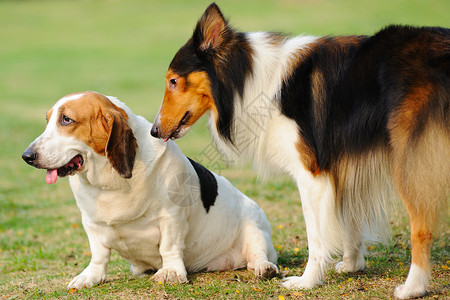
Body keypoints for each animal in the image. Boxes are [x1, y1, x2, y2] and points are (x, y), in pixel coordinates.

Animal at [23, 91, 282, 288]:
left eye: (66, 120)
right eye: (48, 120)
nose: (27, 156)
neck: (109, 180)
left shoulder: (171, 218)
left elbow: (169, 247)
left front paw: (171, 273)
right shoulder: (91, 224)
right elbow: (99, 256)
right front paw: (90, 276)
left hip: (254, 225)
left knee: (257, 256)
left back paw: (265, 268)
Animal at [152, 3, 450, 298]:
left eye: (173, 81)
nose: (154, 131)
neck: (249, 80)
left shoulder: (311, 175)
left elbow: (316, 235)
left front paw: (308, 281)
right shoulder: (342, 165)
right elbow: (349, 221)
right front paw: (352, 264)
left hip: (411, 162)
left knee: (421, 229)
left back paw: (412, 287)